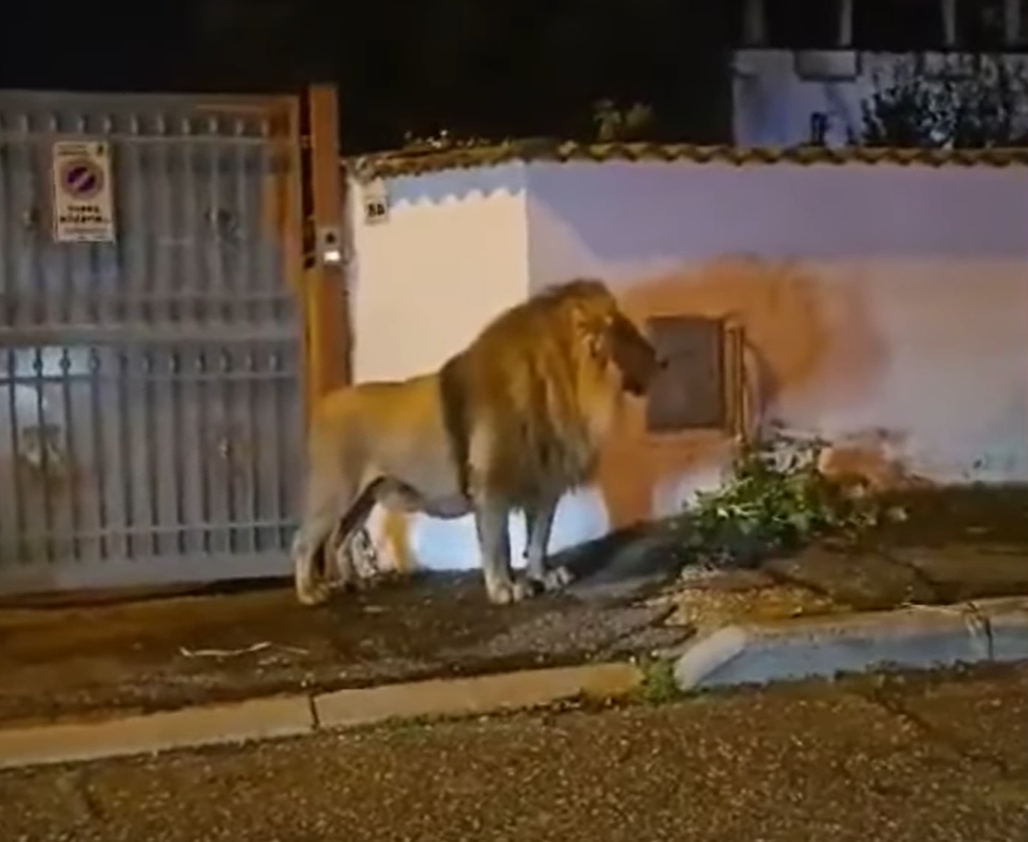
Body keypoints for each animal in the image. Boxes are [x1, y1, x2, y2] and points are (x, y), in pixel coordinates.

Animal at [291, 278, 662, 607]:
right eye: (627, 334)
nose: (662, 360)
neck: (564, 387)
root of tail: (324, 403)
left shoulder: (544, 488)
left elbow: (538, 540)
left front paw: (542, 576)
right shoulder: (491, 489)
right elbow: (499, 545)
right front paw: (504, 589)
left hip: (364, 499)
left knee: (340, 539)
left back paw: (353, 583)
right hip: (334, 493)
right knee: (305, 541)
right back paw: (310, 593)